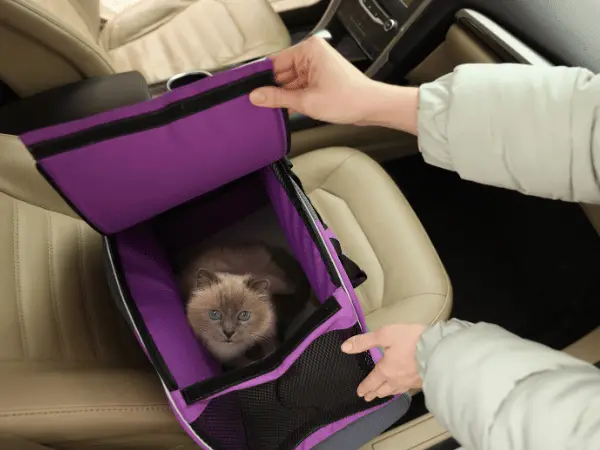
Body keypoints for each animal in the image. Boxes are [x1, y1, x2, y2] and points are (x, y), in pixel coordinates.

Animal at [178, 244, 314, 368]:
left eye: (244, 315)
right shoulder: (229, 358)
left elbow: (270, 347)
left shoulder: (267, 332)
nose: (228, 333)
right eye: (214, 314)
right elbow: (245, 363)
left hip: (277, 281)